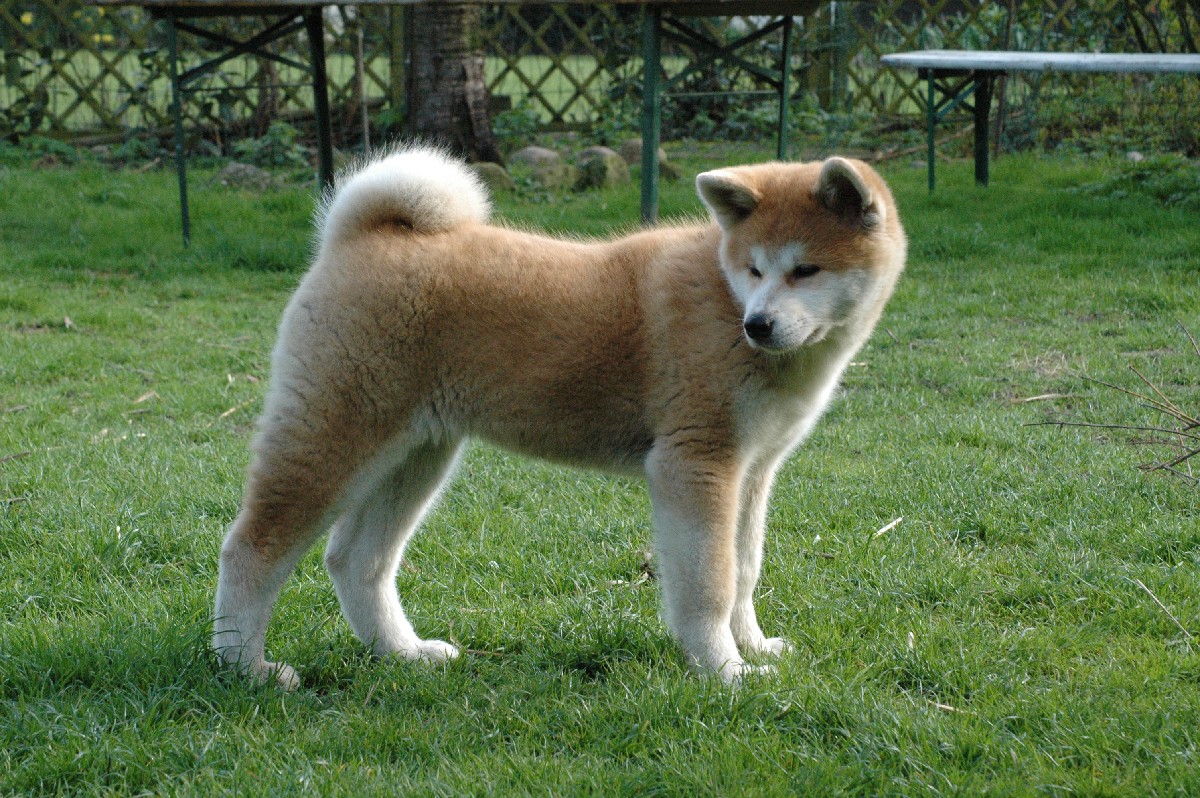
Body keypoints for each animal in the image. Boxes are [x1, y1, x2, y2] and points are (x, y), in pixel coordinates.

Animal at [213, 145, 906, 689]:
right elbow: (709, 584)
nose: (757, 324)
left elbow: (744, 571)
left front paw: (756, 647)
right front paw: (725, 670)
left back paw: (404, 654)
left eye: (805, 269)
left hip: (417, 455)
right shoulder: (696, 464)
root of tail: (359, 234)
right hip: (334, 435)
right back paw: (246, 667)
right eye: (754, 269)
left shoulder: (753, 472)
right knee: (251, 548)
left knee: (356, 560)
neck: (721, 297)